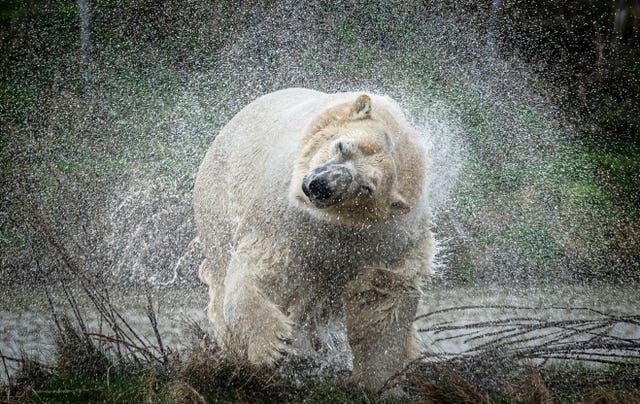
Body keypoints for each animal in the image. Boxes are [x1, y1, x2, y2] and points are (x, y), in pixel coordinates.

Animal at [194, 87, 436, 388]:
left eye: (366, 186)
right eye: (342, 146)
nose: (321, 186)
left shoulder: (389, 239)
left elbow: (381, 296)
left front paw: (378, 380)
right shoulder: (285, 218)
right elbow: (265, 267)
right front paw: (273, 346)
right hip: (219, 197)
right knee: (221, 267)